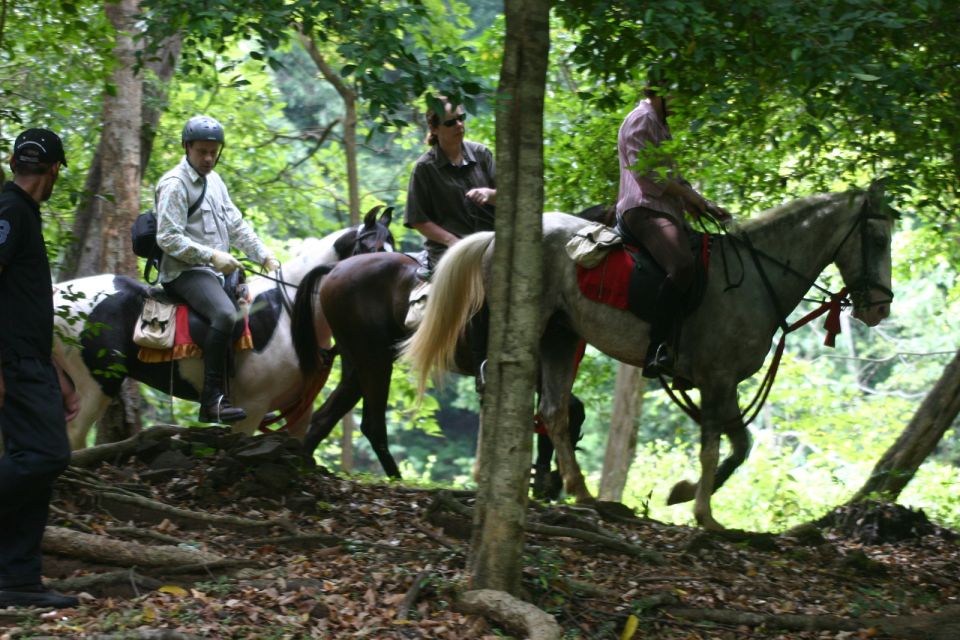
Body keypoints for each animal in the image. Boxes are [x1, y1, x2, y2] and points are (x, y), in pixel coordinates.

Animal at [404, 188, 892, 528]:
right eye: (876, 237)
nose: (880, 308)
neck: (755, 279)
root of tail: (498, 238)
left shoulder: (725, 385)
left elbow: (739, 447)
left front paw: (684, 494)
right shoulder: (717, 380)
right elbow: (715, 448)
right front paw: (703, 513)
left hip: (560, 338)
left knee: (554, 413)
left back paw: (581, 493)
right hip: (528, 330)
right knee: (502, 392)